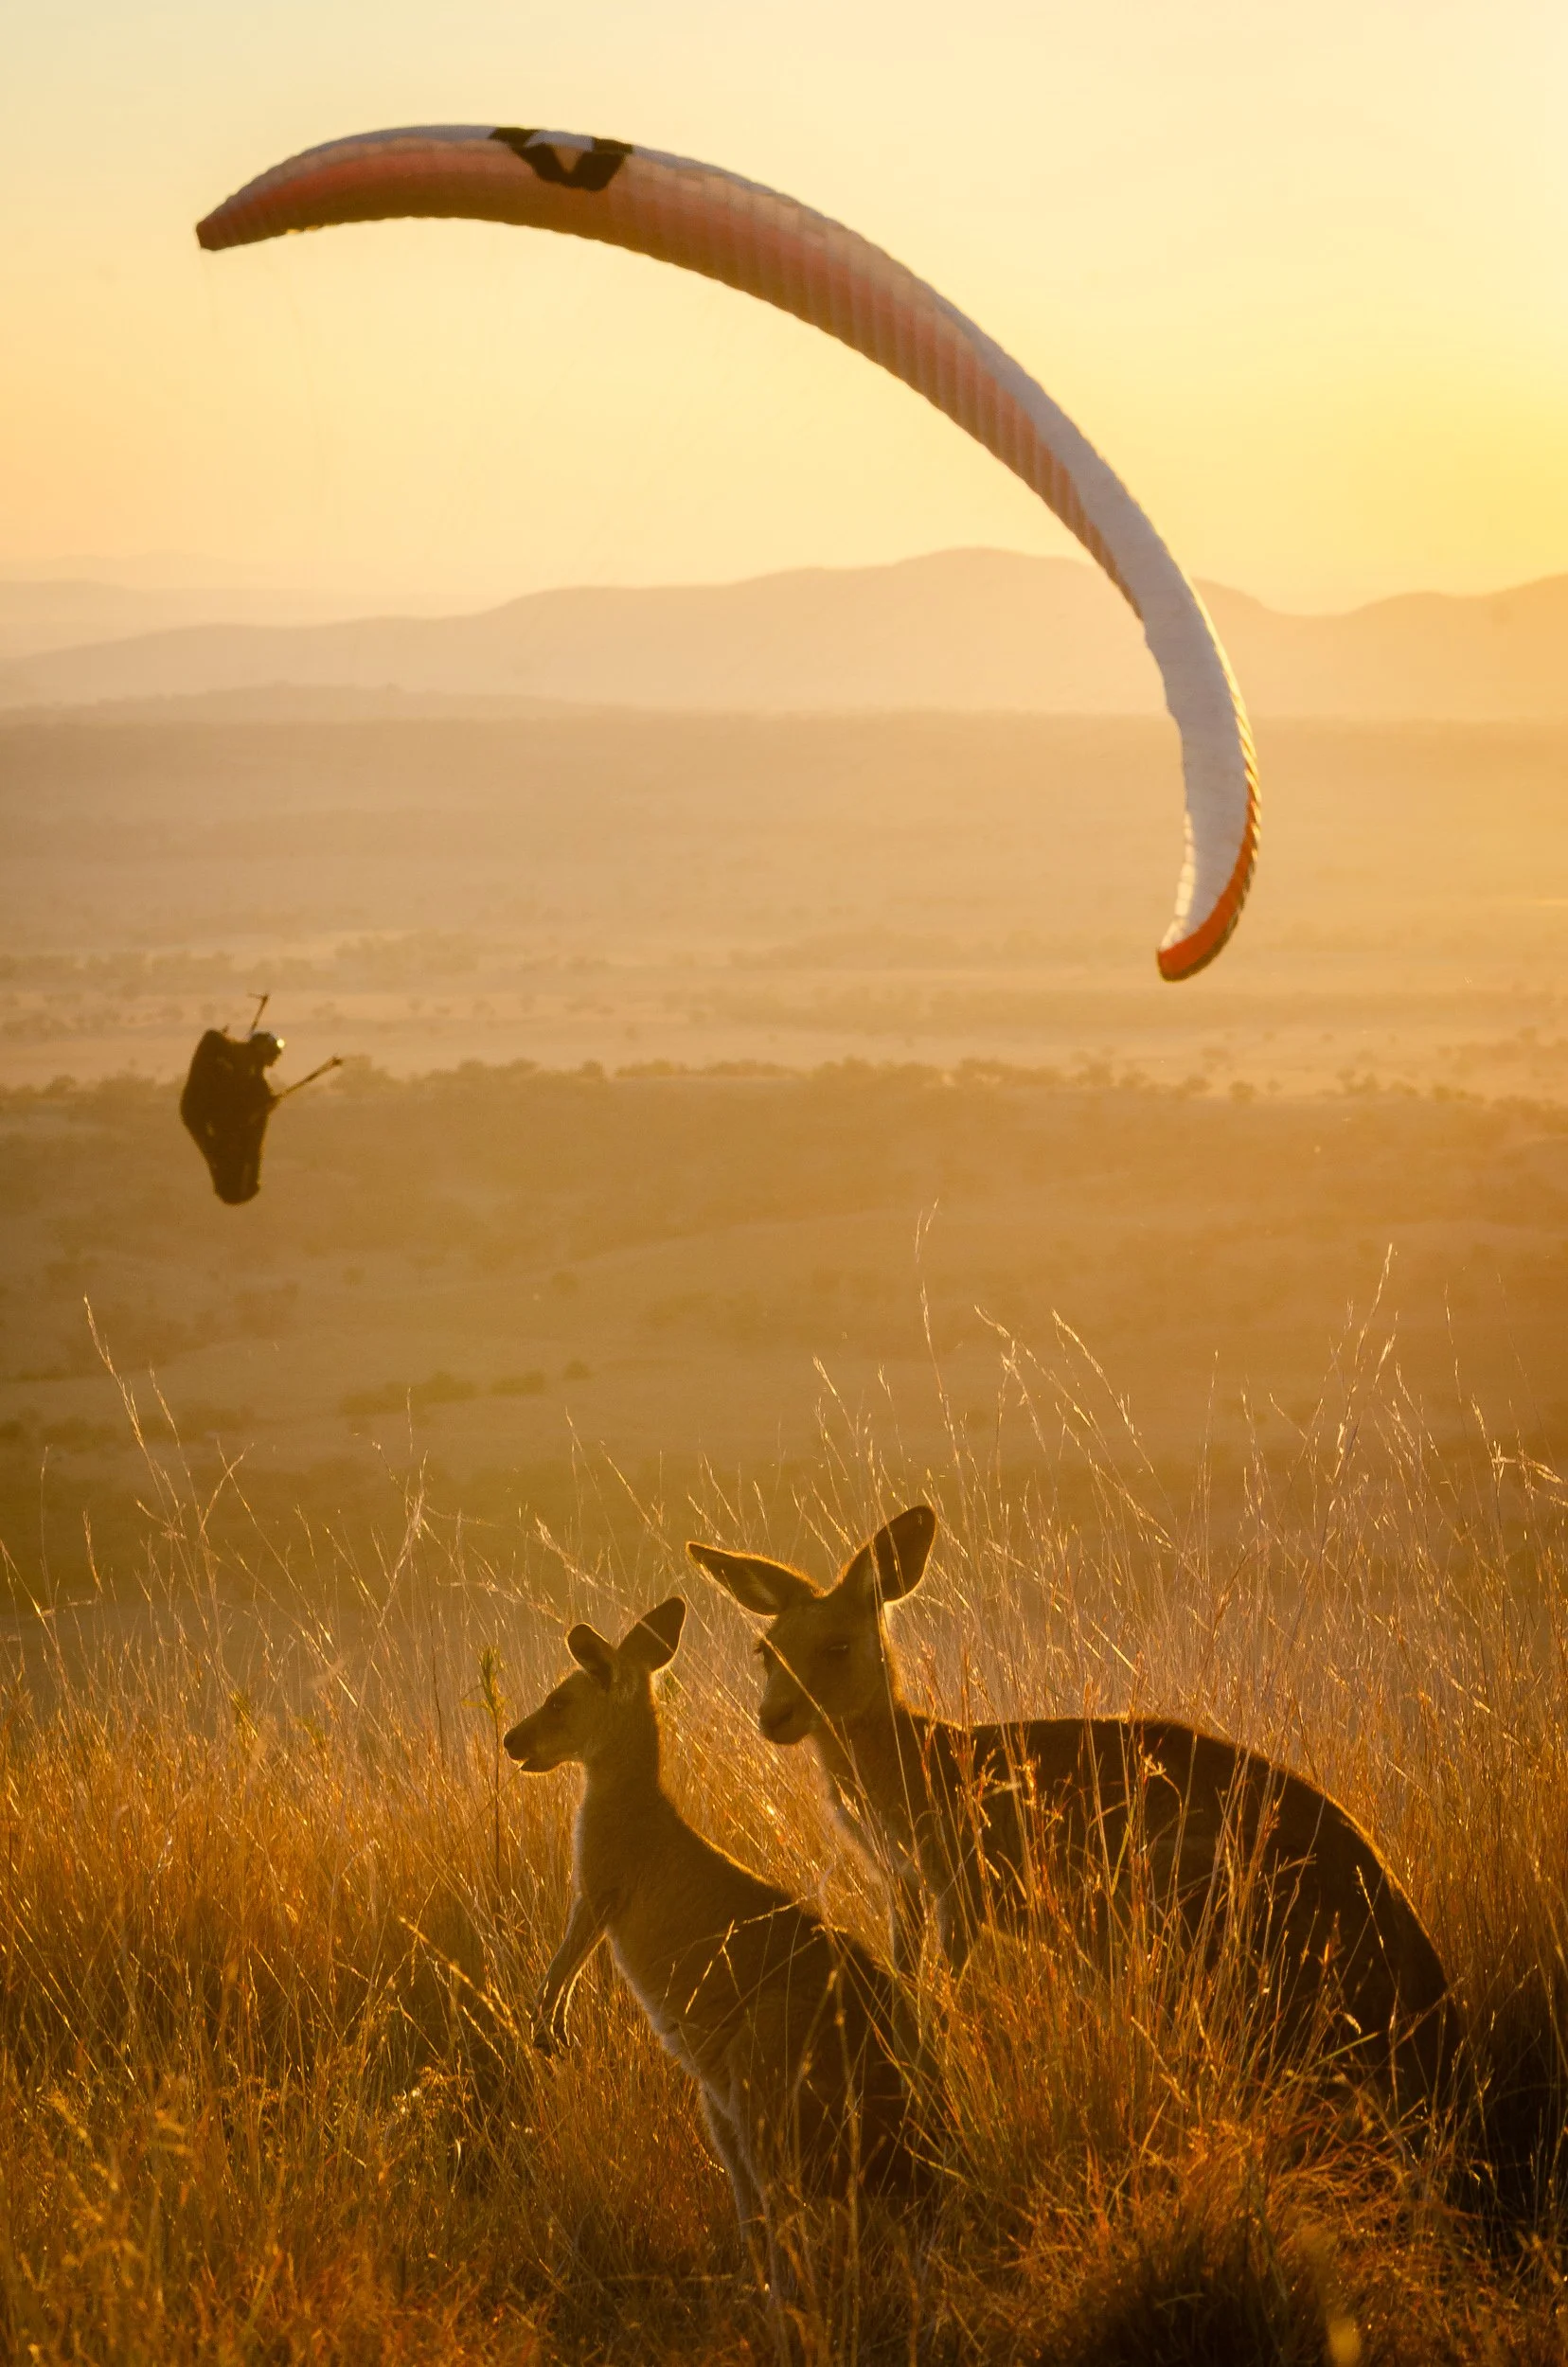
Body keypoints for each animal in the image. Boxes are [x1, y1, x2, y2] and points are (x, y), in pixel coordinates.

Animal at [503, 1595, 941, 2261]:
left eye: (559, 1703)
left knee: (787, 2214)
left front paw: (550, 2031)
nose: (510, 1740)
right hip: (724, 2106)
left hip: (761, 2059)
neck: (625, 1791)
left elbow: (571, 1952)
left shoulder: (601, 1887)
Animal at [690, 1505, 1454, 2106]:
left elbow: (946, 1987)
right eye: (765, 1651)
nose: (774, 1719)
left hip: (1176, 1893)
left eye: (838, 1646)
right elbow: (907, 1976)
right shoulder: (906, 1886)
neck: (905, 1763)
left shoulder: (963, 1880)